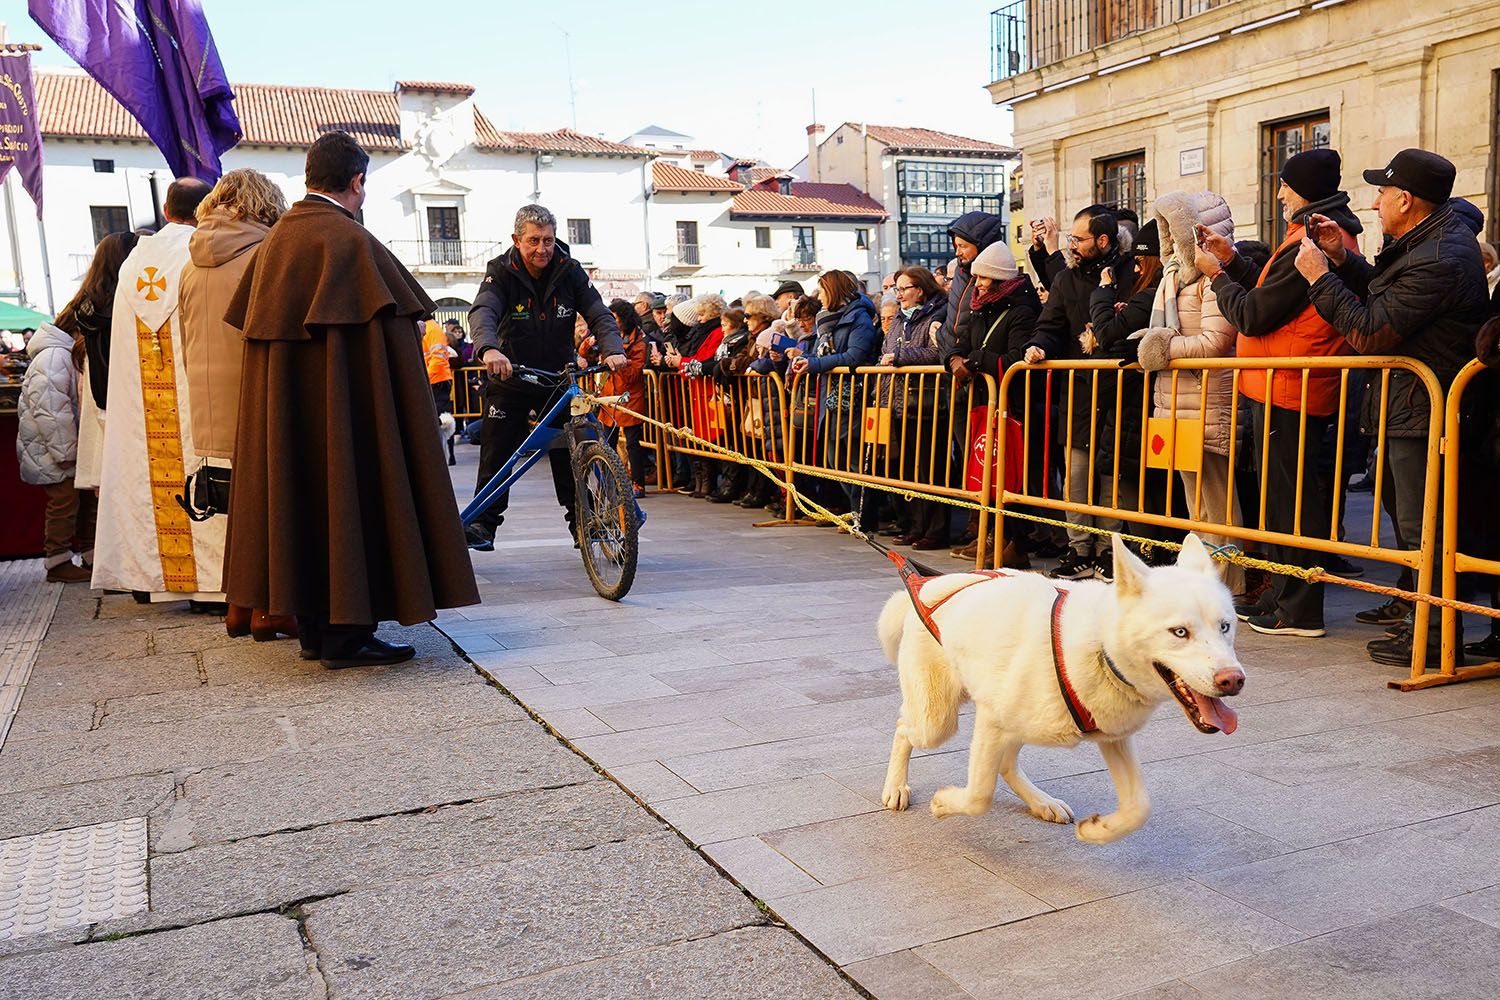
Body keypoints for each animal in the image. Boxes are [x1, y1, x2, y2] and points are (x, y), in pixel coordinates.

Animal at [876, 536, 1242, 839]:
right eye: (1179, 632)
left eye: (1225, 627)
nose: (1234, 680)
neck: (1100, 646)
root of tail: (923, 586)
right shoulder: (991, 721)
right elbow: (979, 795)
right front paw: (944, 802)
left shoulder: (1114, 738)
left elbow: (1138, 808)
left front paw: (1098, 831)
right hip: (937, 722)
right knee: (903, 728)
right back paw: (896, 786)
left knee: (1007, 764)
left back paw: (1041, 802)